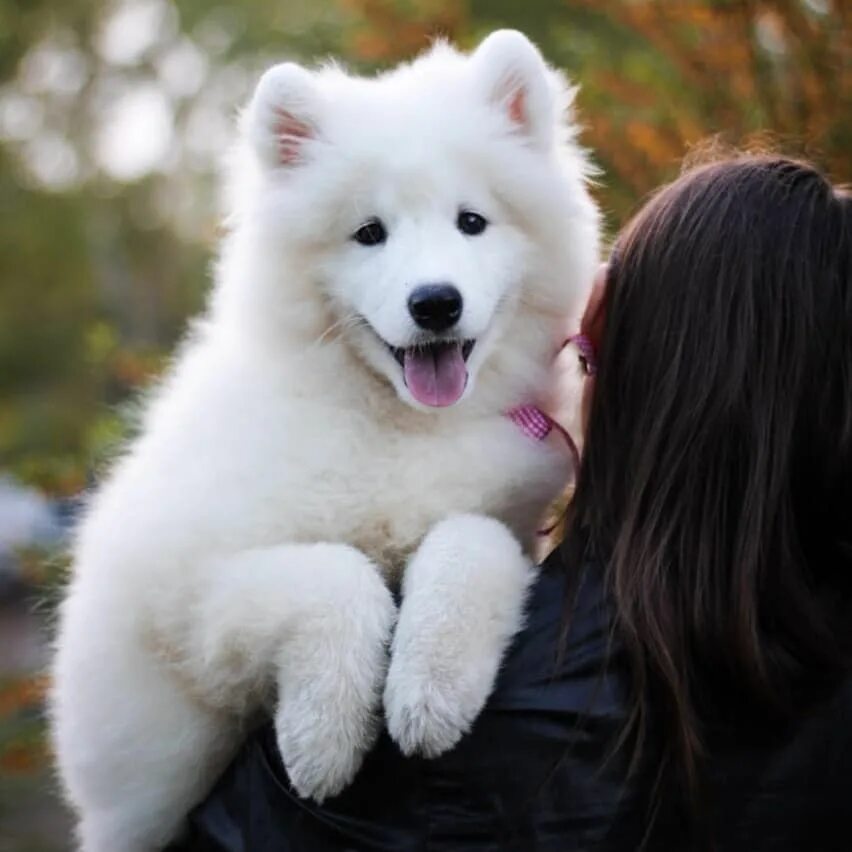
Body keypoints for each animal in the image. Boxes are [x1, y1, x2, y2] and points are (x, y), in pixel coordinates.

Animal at [51, 28, 600, 852]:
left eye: (472, 221)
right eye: (368, 234)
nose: (435, 303)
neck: (398, 426)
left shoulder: (514, 520)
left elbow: (468, 541)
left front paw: (431, 688)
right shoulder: (183, 593)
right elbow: (335, 574)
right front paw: (323, 742)